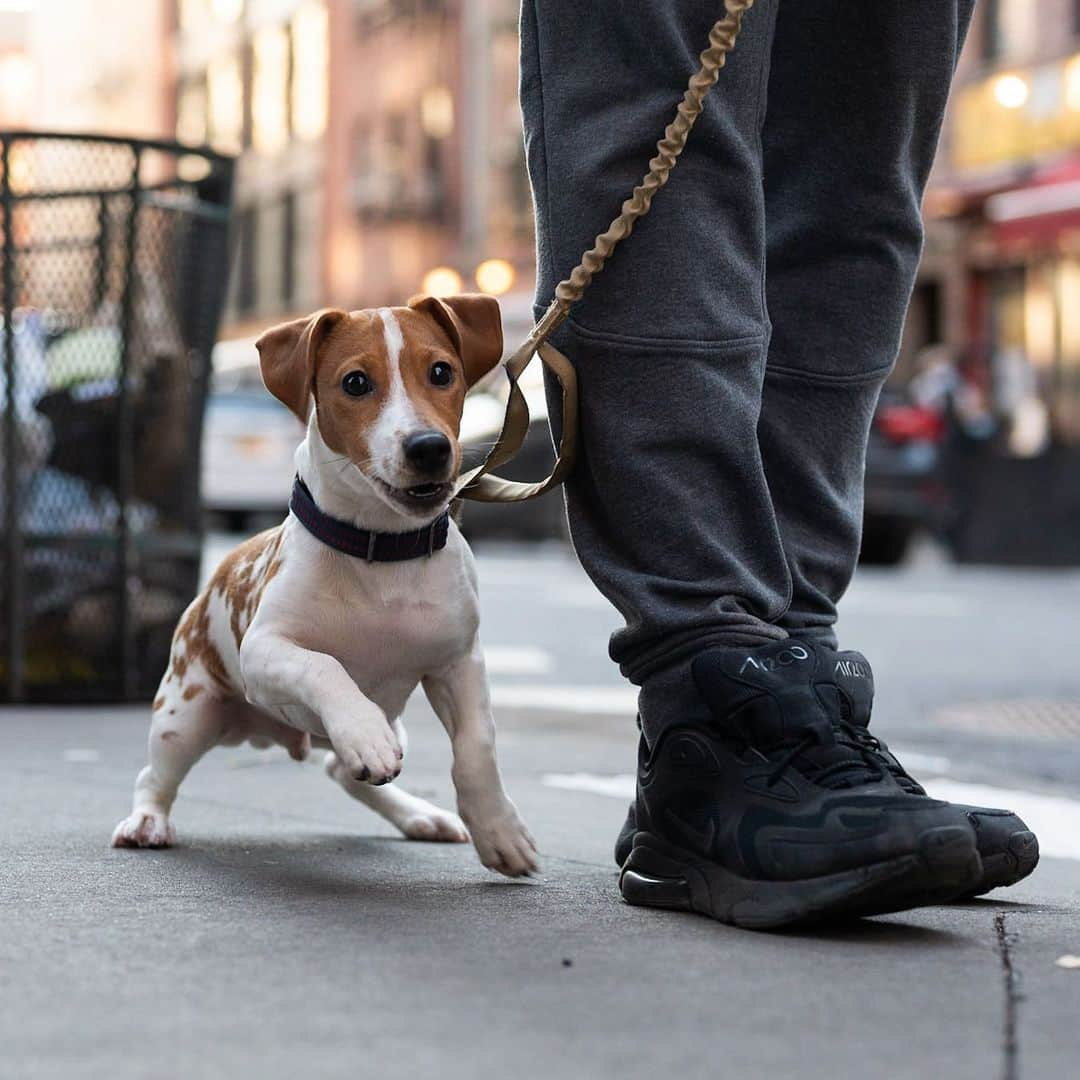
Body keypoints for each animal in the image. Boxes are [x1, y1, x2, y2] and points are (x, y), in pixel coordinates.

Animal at [111, 293, 540, 876]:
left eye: (442, 372)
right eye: (356, 382)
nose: (429, 447)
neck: (381, 550)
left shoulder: (459, 662)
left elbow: (477, 747)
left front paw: (499, 832)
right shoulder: (264, 651)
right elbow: (324, 667)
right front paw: (361, 730)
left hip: (389, 724)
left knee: (345, 772)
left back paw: (419, 814)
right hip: (186, 711)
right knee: (156, 774)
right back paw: (147, 821)